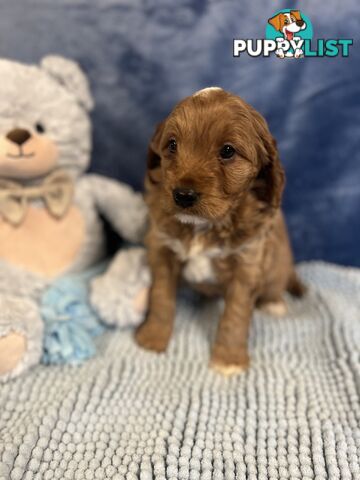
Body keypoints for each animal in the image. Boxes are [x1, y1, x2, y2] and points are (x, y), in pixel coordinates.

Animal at [134, 86, 304, 374]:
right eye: (172, 145)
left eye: (227, 151)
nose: (183, 195)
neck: (204, 226)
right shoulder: (161, 249)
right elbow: (160, 296)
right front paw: (153, 338)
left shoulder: (247, 264)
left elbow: (235, 314)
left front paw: (228, 359)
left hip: (278, 268)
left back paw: (274, 303)